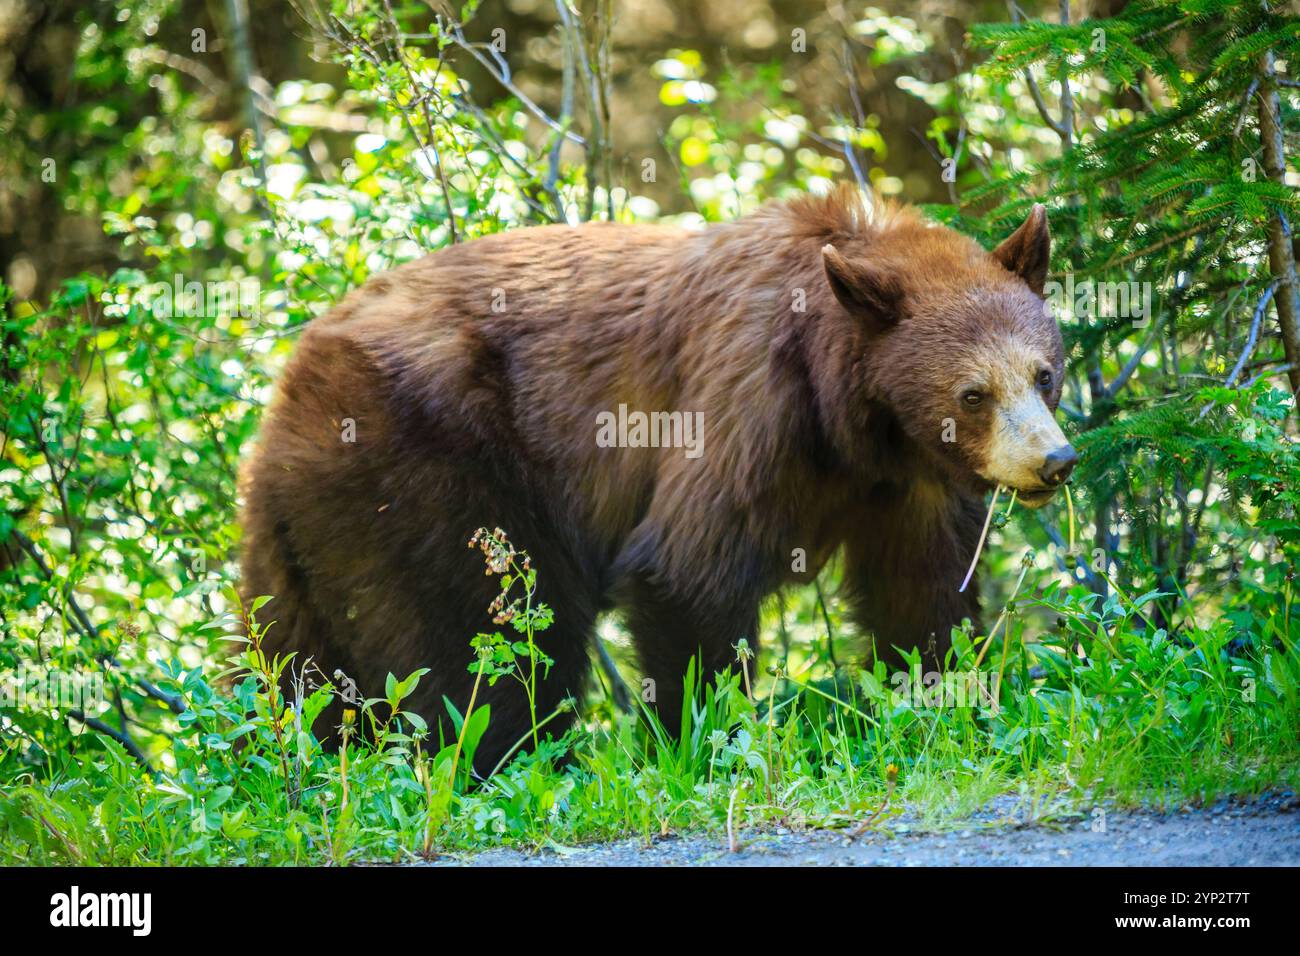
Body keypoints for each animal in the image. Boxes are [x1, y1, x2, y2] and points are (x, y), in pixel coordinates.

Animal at [238, 184, 1075, 771]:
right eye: (974, 393)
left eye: (1045, 373)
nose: (1055, 462)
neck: (855, 420)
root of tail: (285, 387)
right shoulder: (750, 401)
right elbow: (689, 569)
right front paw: (695, 741)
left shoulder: (911, 487)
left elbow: (923, 593)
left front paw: (947, 703)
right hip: (423, 466)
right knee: (486, 636)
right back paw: (508, 761)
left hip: (311, 532)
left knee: (298, 658)